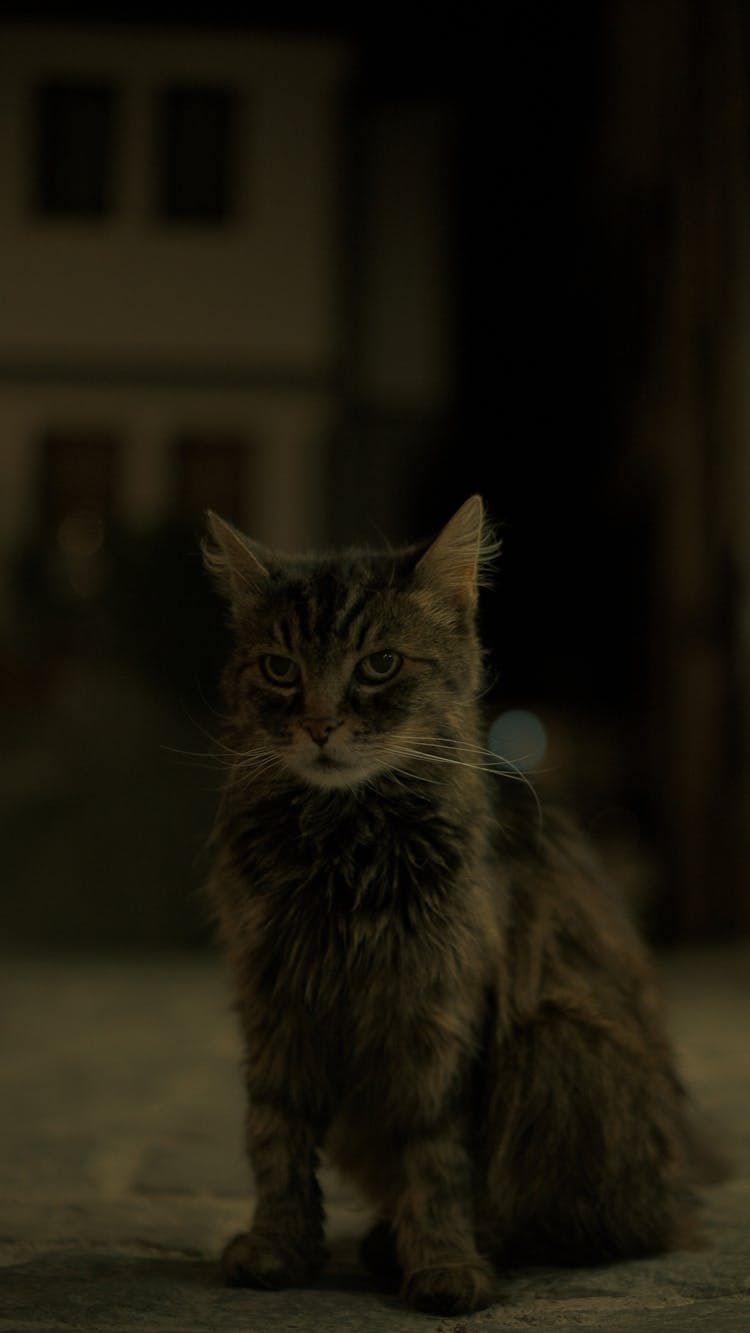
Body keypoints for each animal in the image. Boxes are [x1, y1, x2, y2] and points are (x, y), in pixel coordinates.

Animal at [202, 498, 724, 1311]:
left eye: (379, 665)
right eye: (280, 669)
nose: (318, 726)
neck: (344, 847)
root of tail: (678, 1186)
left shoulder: (438, 1011)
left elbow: (438, 1158)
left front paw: (445, 1263)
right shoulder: (273, 998)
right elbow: (275, 1135)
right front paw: (278, 1247)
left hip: (557, 1041)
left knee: (587, 1228)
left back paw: (416, 1246)